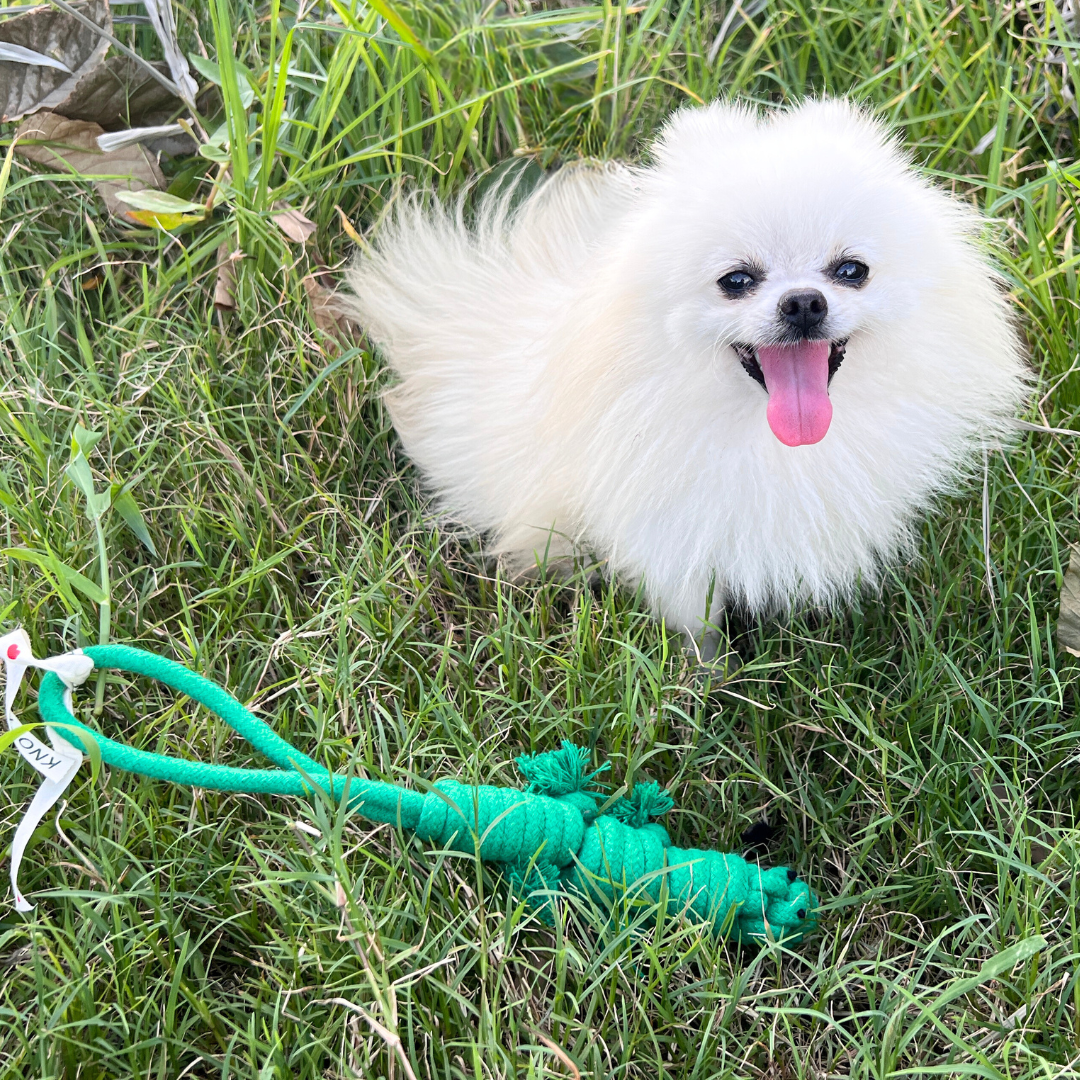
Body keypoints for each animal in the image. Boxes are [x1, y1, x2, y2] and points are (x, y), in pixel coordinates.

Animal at [343, 99, 1019, 648]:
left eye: (851, 270)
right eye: (736, 280)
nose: (803, 302)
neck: (770, 440)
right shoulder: (673, 537)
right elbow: (698, 627)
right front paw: (705, 686)